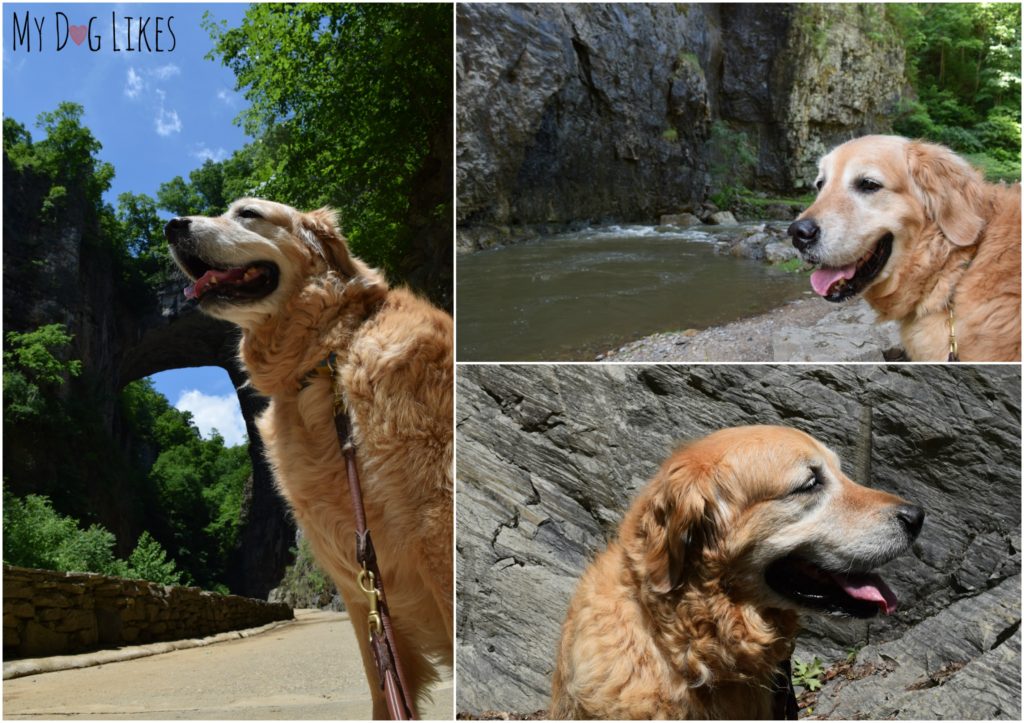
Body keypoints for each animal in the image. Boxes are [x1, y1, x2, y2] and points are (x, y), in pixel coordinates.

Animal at [164, 196, 452, 716]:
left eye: (248, 213)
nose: (171, 225)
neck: (326, 361)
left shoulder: (436, 530)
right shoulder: (364, 592)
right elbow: (384, 691)